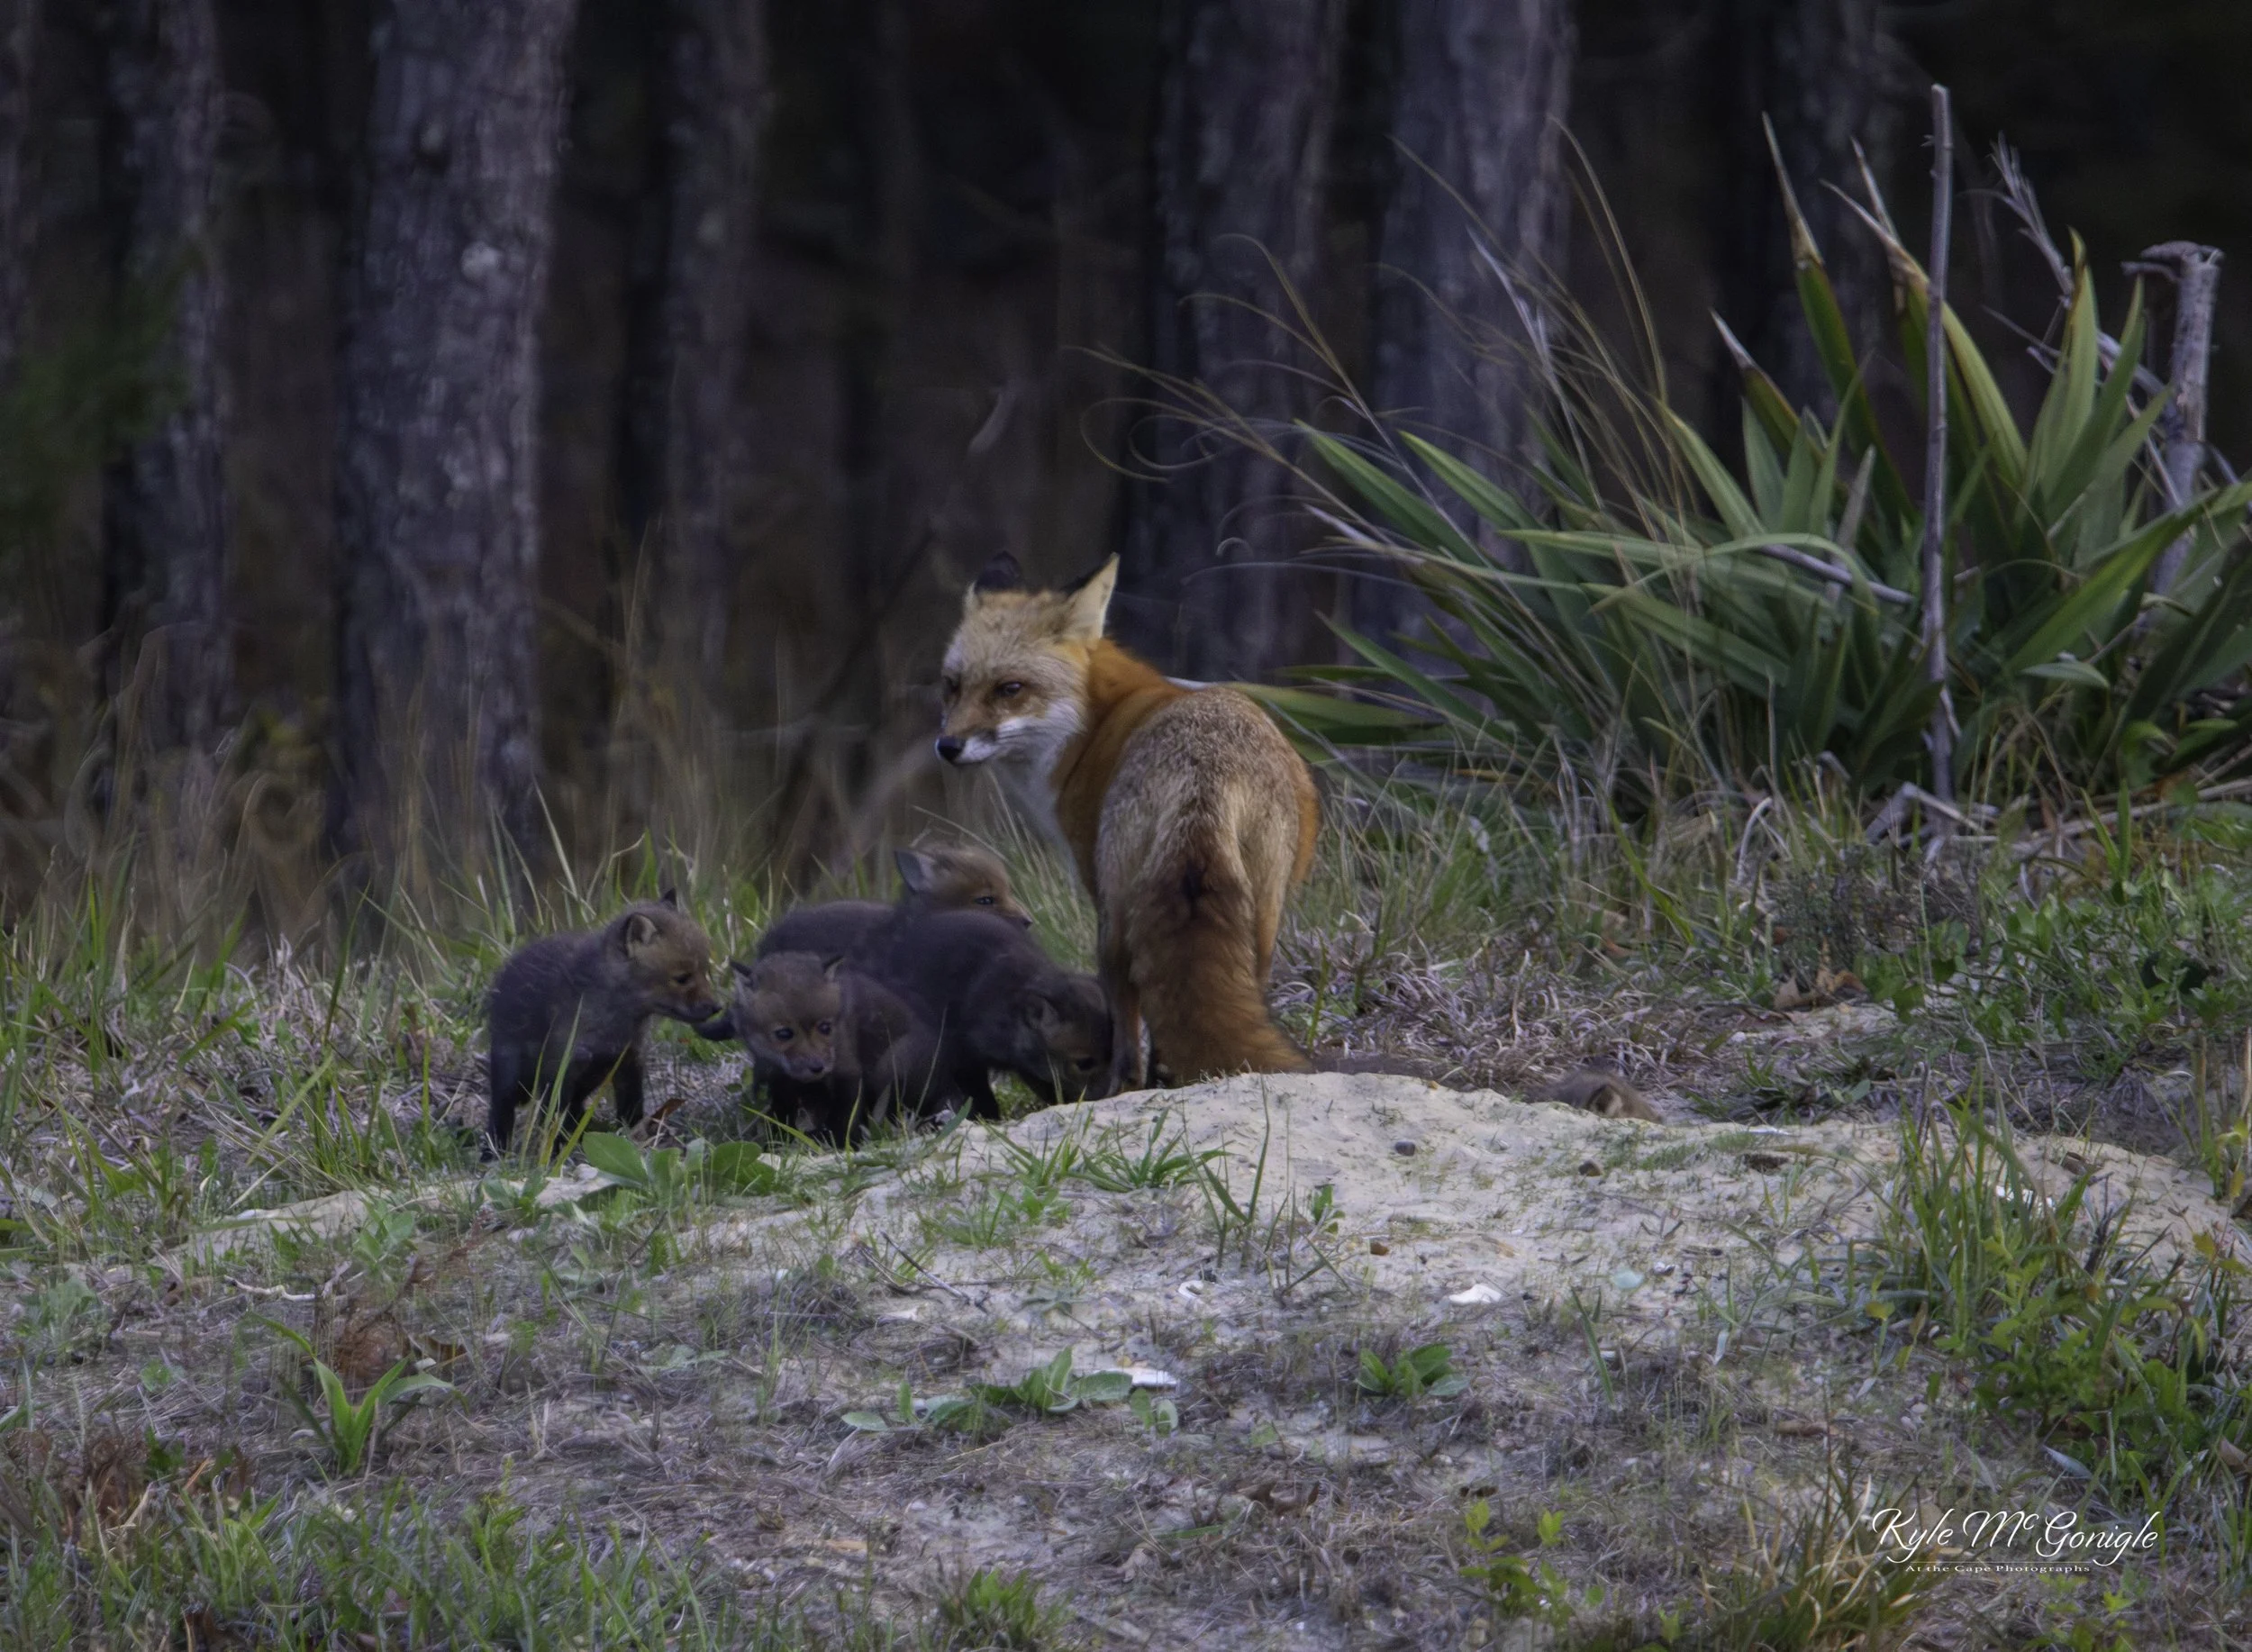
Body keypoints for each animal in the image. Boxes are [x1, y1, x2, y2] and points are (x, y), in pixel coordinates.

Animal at [485, 890, 722, 1155]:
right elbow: (551, 1120)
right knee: (500, 1112)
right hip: (510, 1074)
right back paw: (494, 1152)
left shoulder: (629, 1062)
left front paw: (633, 1141)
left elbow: (631, 1112)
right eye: (682, 978)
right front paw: (552, 1155)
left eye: (706, 971)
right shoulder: (561, 1067)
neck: (613, 1025)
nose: (716, 1007)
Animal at [711, 952, 950, 1142]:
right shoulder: (779, 1083)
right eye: (784, 1033)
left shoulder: (848, 1073)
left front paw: (841, 1144)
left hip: (890, 1069)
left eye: (825, 1027)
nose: (817, 1067)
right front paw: (775, 1143)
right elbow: (780, 1118)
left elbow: (846, 1117)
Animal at [855, 909, 1114, 1118]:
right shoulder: (966, 1055)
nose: (1108, 1093)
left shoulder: (1027, 1063)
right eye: (1084, 1063)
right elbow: (978, 1090)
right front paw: (988, 1115)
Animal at [935, 552, 1317, 1089]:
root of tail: (1202, 775)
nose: (947, 747)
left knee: (1127, 1006)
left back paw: (1126, 1083)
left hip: (1115, 915)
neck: (1091, 726)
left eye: (1009, 689)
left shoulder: (1094, 881)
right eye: (952, 686)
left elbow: (1127, 1016)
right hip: (1263, 911)